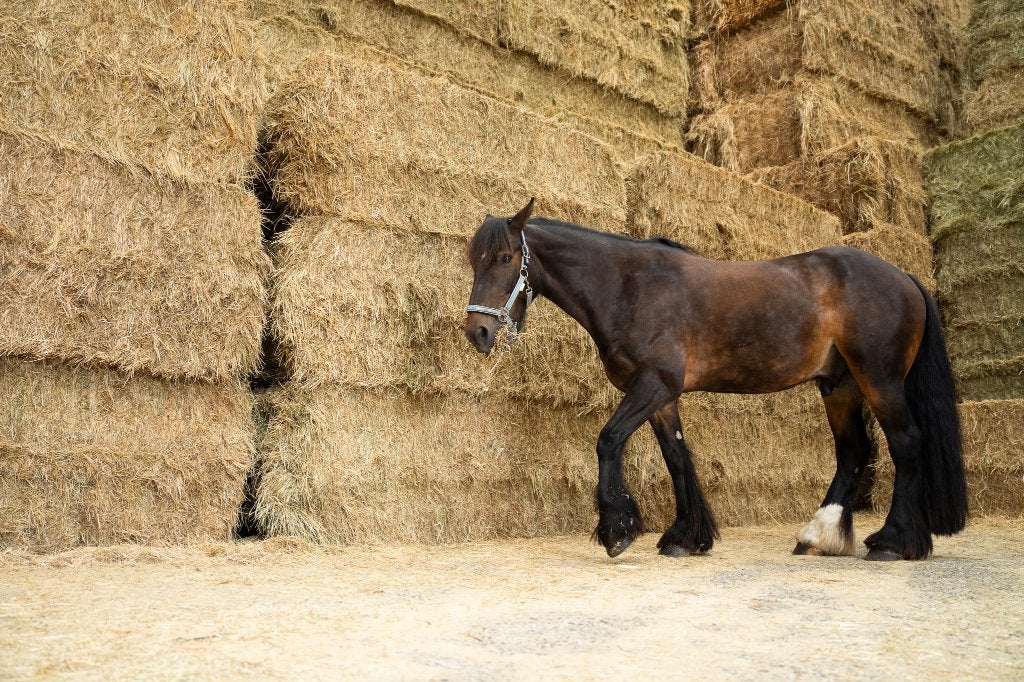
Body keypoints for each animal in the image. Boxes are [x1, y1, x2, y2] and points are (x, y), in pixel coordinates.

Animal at [463, 199, 968, 561]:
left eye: (506, 257)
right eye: (475, 262)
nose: (478, 332)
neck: (631, 286)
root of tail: (904, 276)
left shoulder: (654, 386)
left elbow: (608, 440)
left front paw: (618, 530)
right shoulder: (662, 397)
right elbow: (677, 458)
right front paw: (685, 537)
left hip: (879, 379)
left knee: (906, 443)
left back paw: (892, 541)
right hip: (839, 385)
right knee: (853, 452)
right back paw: (817, 537)